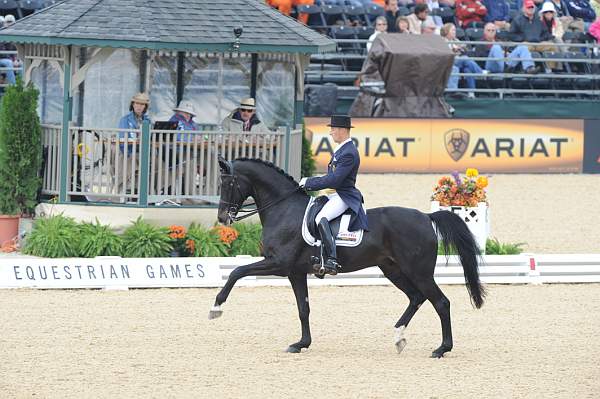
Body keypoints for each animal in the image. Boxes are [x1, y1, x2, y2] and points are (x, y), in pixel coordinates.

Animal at [209, 157, 486, 360]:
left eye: (229, 183)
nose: (222, 218)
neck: (283, 209)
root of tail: (426, 217)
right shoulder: (295, 272)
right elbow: (303, 308)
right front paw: (301, 343)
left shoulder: (279, 264)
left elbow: (236, 272)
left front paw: (216, 307)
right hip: (393, 269)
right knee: (416, 298)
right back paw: (398, 337)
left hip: (418, 271)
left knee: (440, 302)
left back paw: (441, 349)